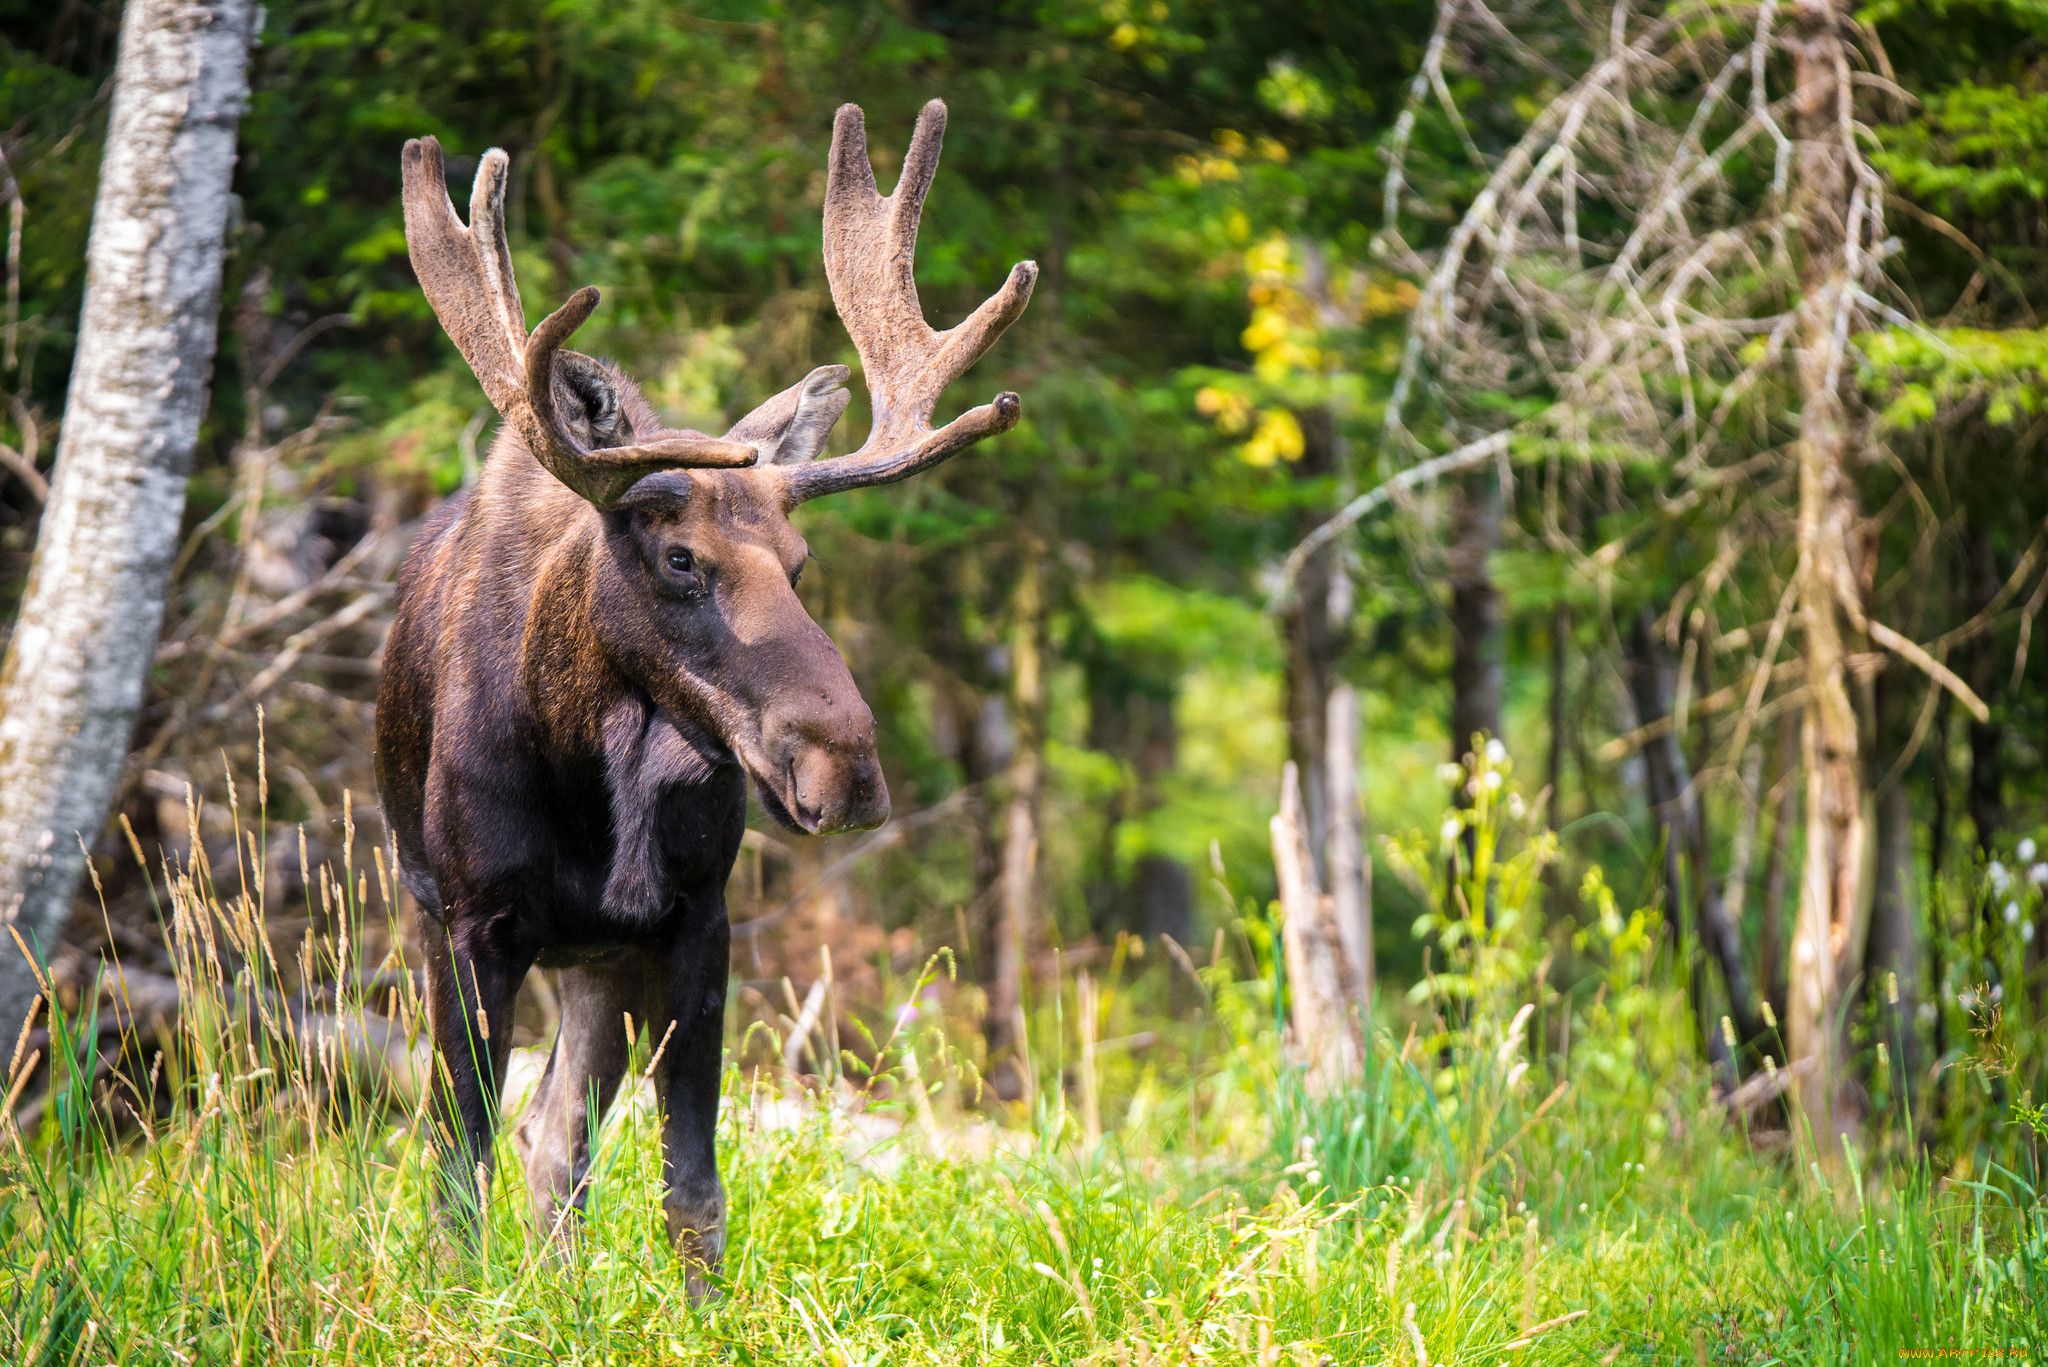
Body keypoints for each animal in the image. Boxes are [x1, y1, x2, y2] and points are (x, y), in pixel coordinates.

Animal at [376, 98, 1032, 1295]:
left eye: (801, 560)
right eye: (680, 558)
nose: (847, 765)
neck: (586, 767)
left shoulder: (697, 918)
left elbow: (691, 1189)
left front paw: (698, 1313)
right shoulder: (474, 919)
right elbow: (455, 1171)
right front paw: (456, 1305)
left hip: (599, 963)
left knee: (558, 1141)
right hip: (462, 920)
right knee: (525, 1139)